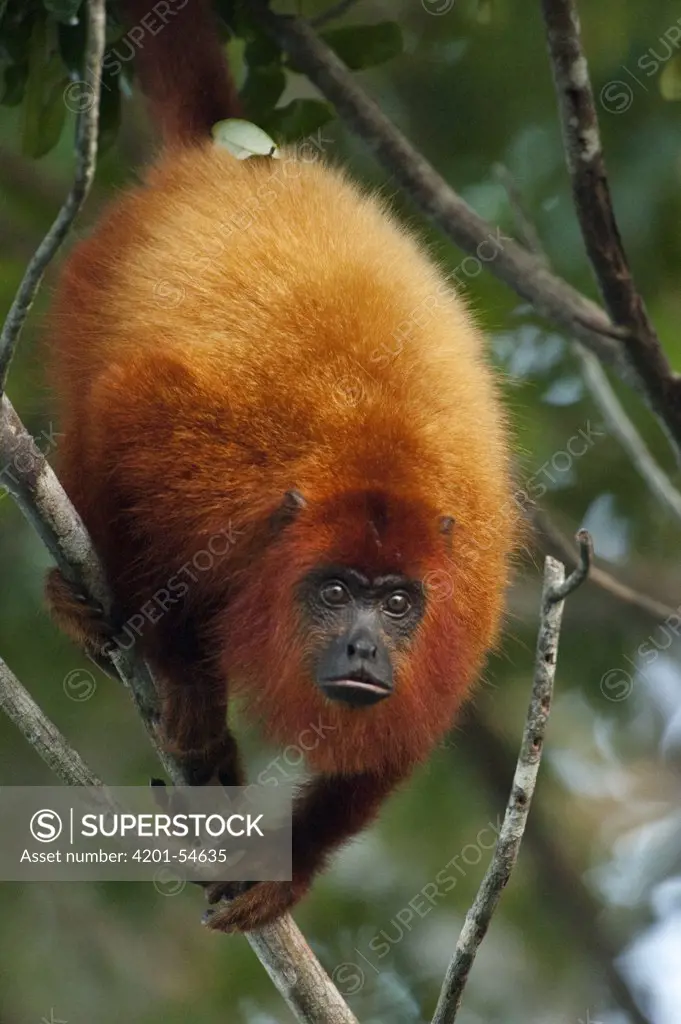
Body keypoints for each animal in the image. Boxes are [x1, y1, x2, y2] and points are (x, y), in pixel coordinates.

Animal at [46, 0, 516, 933]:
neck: (374, 466)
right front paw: (186, 676)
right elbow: (126, 406)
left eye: (398, 603)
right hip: (93, 279)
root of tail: (228, 161)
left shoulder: (471, 577)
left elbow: (396, 744)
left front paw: (288, 866)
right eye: (333, 592)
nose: (364, 647)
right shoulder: (213, 466)